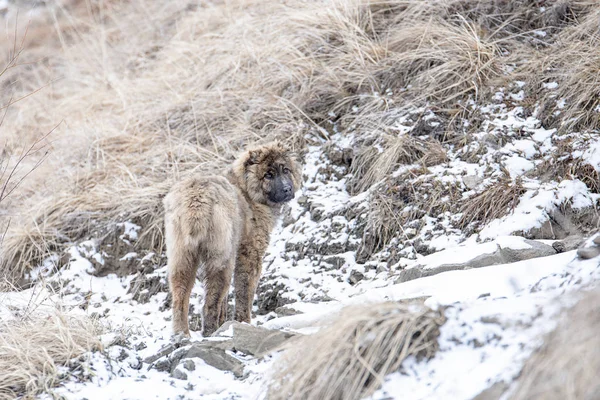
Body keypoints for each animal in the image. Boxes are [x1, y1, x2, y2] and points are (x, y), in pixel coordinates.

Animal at [164, 142, 302, 336]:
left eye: (286, 170)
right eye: (268, 174)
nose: (287, 189)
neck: (247, 191)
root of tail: (197, 198)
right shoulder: (250, 253)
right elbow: (244, 293)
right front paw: (244, 322)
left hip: (182, 256)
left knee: (180, 299)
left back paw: (182, 334)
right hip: (221, 257)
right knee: (211, 302)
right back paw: (210, 332)